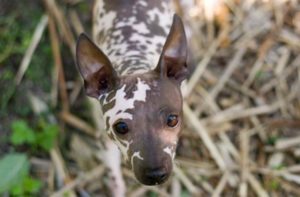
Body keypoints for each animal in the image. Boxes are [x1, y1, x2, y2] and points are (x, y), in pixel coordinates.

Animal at [75, 0, 188, 185]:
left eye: (172, 120)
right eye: (121, 127)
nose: (155, 174)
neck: (134, 59)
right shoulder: (105, 139)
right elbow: (113, 174)